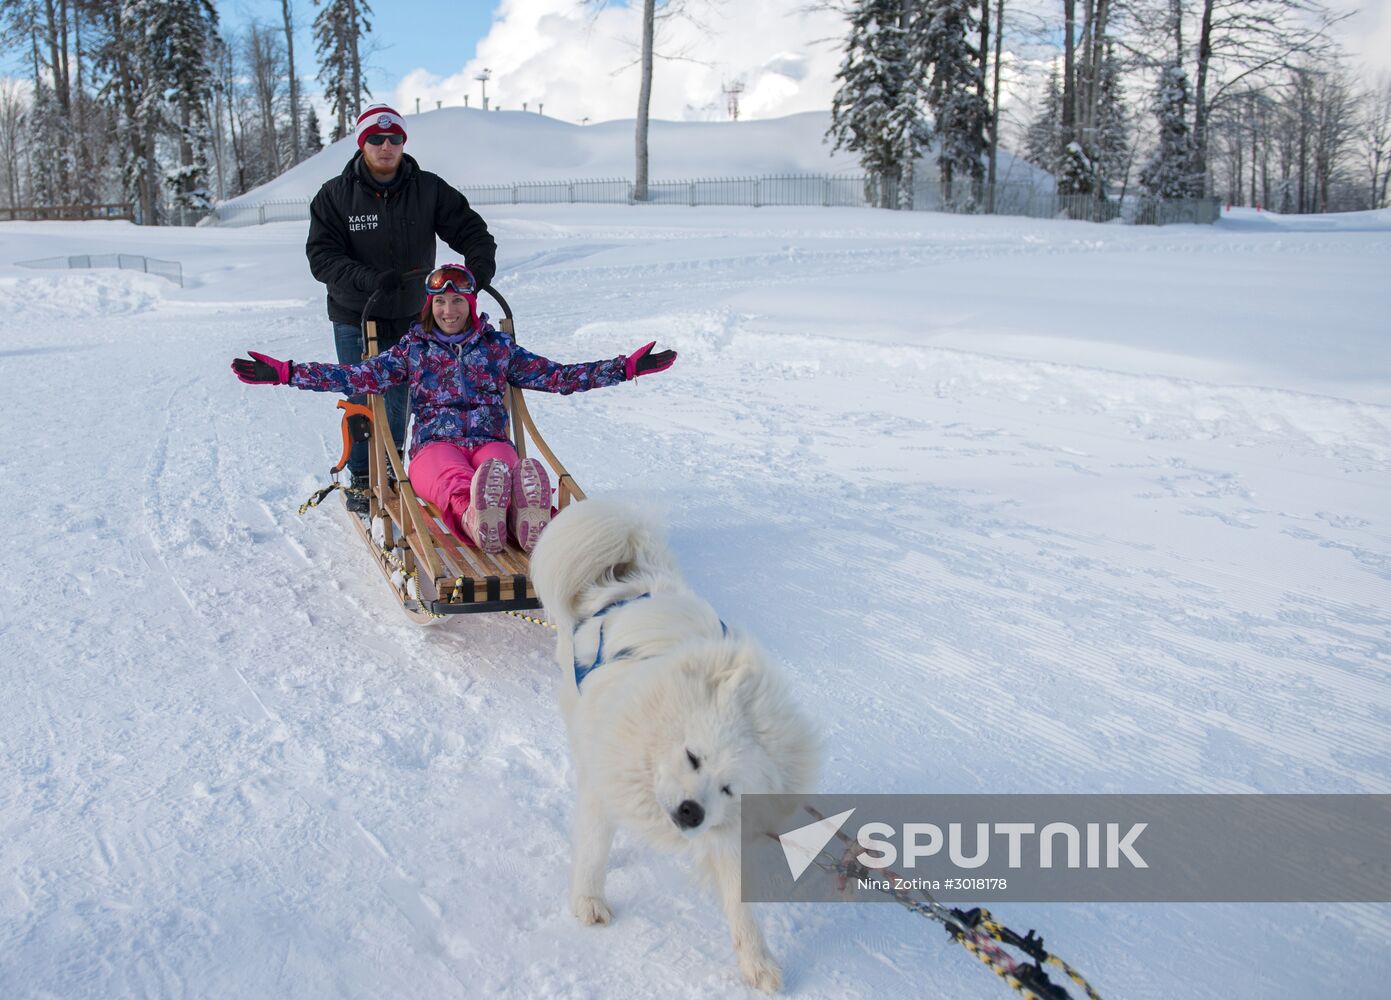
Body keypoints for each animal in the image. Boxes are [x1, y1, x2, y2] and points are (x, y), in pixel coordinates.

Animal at [528, 500, 812, 995]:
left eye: (729, 789)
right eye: (692, 756)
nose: (690, 812)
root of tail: (633, 577)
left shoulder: (728, 831)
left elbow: (740, 904)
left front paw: (758, 964)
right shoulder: (605, 782)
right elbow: (593, 851)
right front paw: (588, 903)